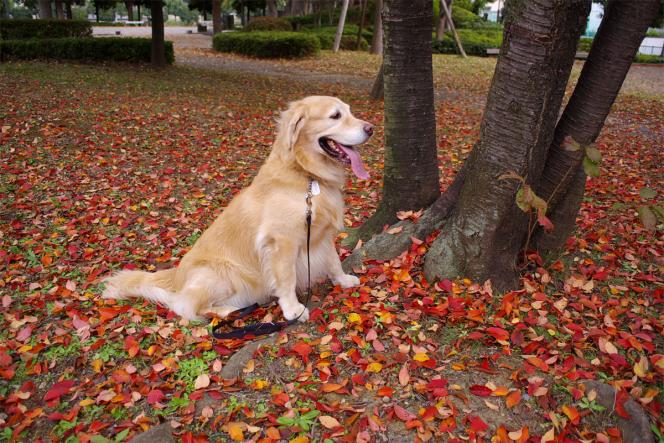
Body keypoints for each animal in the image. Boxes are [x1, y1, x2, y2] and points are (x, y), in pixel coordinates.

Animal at [103, 96, 374, 322]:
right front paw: (293, 309)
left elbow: (333, 260)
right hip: (220, 274)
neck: (306, 174)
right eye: (335, 115)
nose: (370, 128)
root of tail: (177, 274)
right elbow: (287, 278)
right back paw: (228, 311)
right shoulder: (282, 242)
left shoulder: (322, 234)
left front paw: (343, 280)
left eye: (349, 111)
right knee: (186, 307)